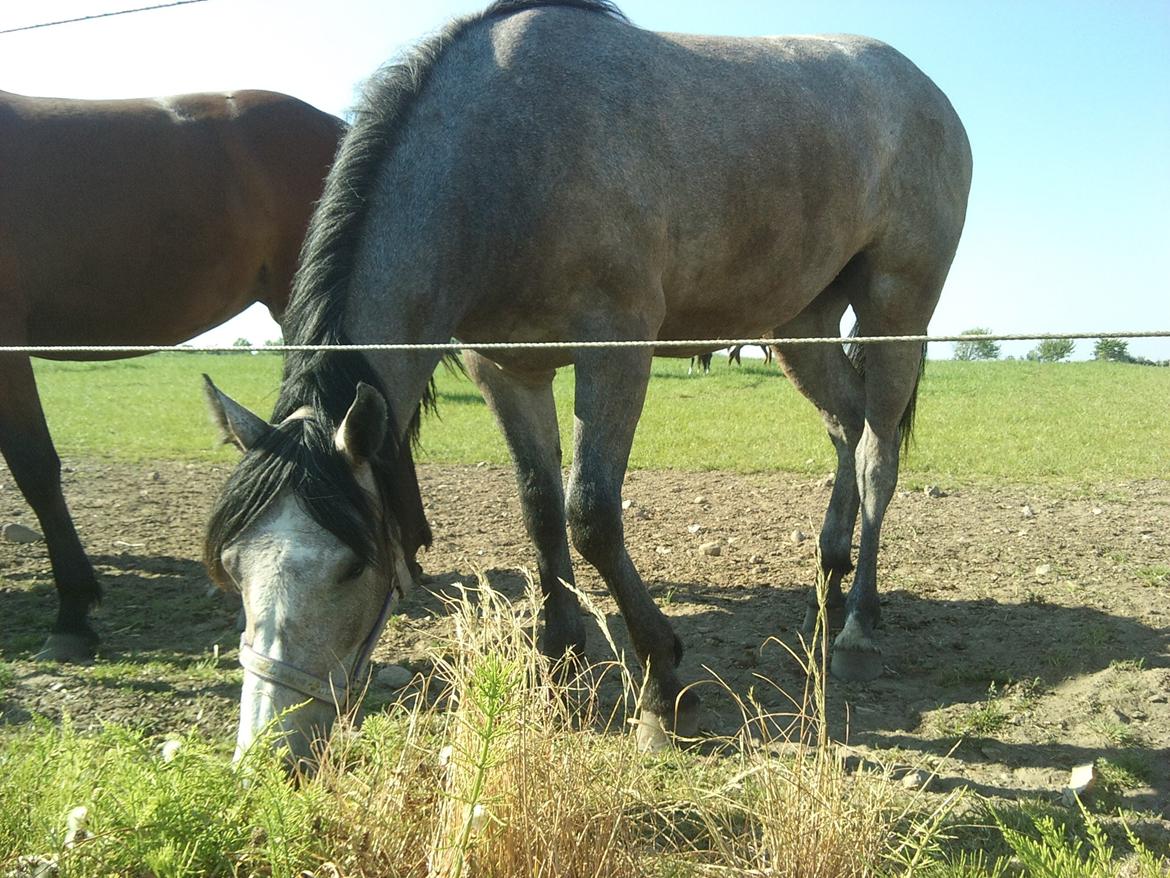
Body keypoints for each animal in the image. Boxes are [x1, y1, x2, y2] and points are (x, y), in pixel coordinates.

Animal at [201, 0, 968, 763]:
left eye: (352, 567)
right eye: (232, 567)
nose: (268, 756)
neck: (505, 153)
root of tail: (927, 90)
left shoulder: (616, 348)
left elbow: (591, 514)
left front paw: (663, 687)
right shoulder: (505, 369)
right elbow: (540, 508)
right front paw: (561, 660)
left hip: (896, 307)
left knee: (876, 455)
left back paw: (859, 623)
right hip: (800, 323)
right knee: (845, 426)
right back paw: (828, 579)